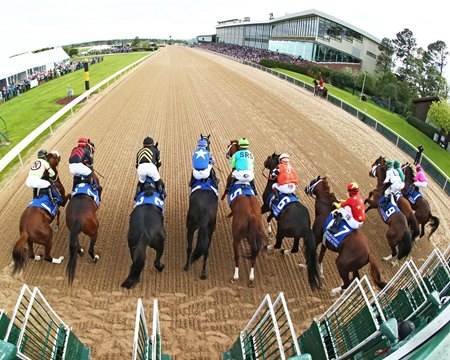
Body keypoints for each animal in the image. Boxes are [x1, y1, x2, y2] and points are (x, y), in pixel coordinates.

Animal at [221, 140, 264, 286]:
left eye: (229, 147)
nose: (226, 154)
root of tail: (251, 216)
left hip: (237, 237)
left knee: (237, 256)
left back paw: (235, 276)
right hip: (254, 236)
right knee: (254, 256)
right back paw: (251, 278)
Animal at [262, 153, 322, 292]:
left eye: (269, 158)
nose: (264, 162)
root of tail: (306, 226)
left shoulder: (266, 206)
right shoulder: (274, 211)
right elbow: (269, 218)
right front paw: (269, 230)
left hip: (282, 230)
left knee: (278, 244)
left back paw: (268, 247)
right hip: (296, 236)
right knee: (294, 249)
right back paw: (285, 252)